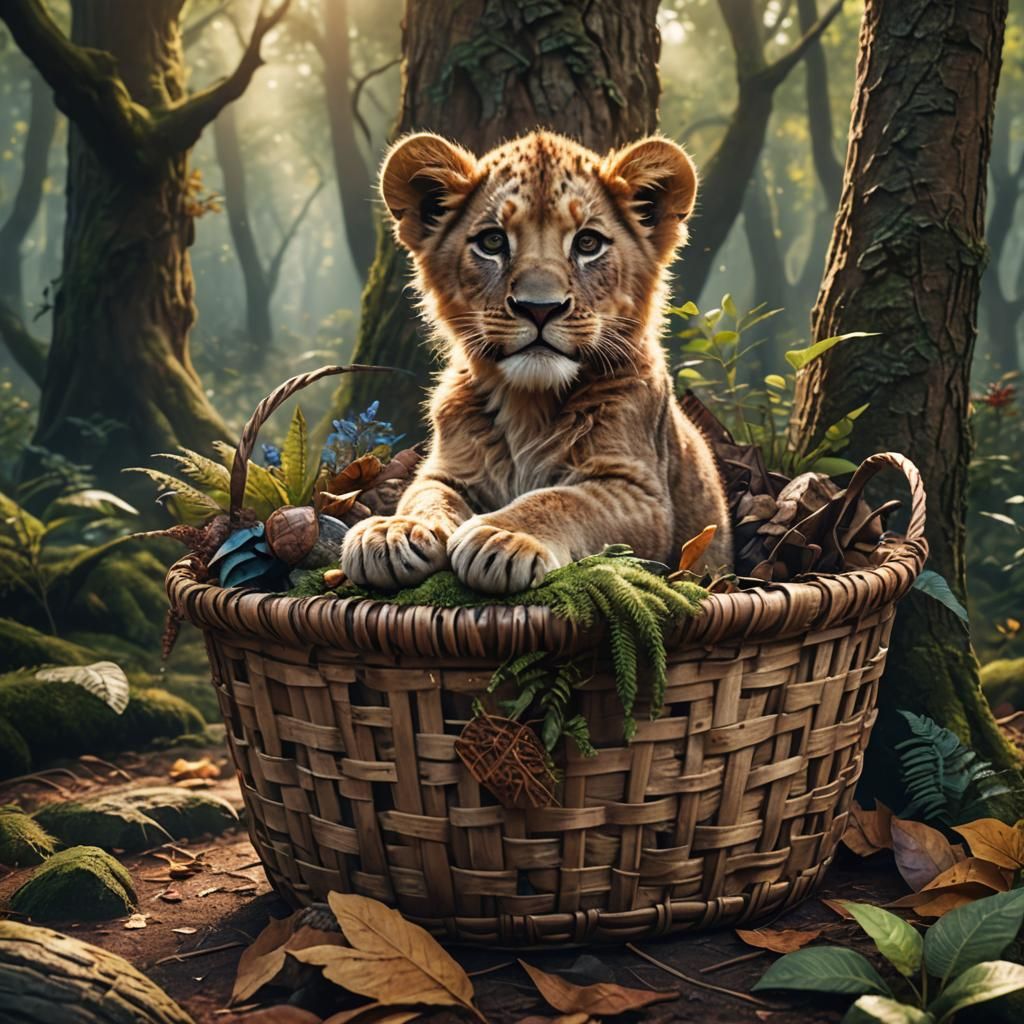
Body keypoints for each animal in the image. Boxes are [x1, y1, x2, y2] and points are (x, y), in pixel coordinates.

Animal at [341, 129, 732, 594]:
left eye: (587, 243)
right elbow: (424, 495)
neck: (528, 403)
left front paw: (503, 536)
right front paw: (393, 531)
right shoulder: (447, 471)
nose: (539, 308)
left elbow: (564, 499)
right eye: (493, 242)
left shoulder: (644, 495)